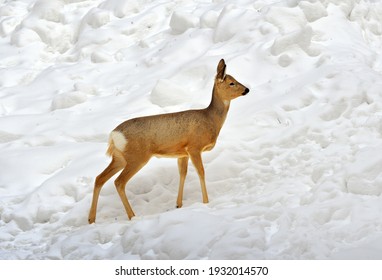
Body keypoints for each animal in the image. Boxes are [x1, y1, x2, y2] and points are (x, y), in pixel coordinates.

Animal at [89, 59, 251, 223]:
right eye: (231, 83)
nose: (247, 90)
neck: (210, 120)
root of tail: (113, 135)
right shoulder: (194, 147)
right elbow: (201, 172)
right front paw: (206, 202)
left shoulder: (182, 153)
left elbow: (182, 174)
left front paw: (178, 204)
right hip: (137, 157)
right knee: (119, 182)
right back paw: (132, 216)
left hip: (120, 157)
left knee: (99, 178)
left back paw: (91, 219)